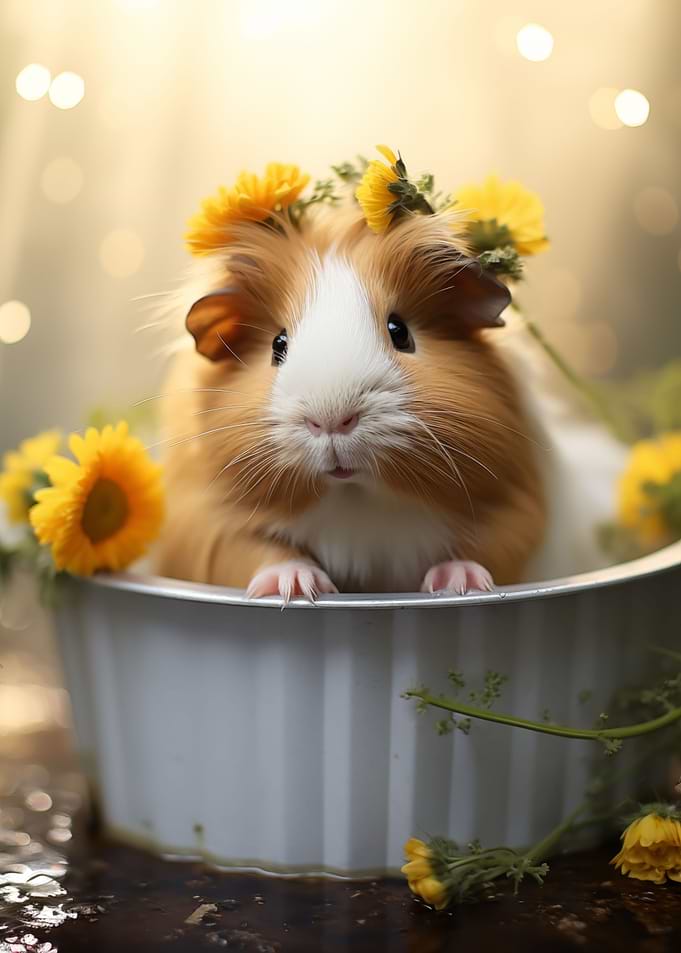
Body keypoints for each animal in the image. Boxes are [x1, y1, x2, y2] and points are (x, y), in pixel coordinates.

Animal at [155, 211, 547, 599]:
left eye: (399, 332)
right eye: (278, 344)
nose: (331, 420)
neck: (354, 499)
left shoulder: (513, 508)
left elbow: (483, 551)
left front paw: (460, 584)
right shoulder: (207, 523)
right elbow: (260, 554)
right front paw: (297, 588)